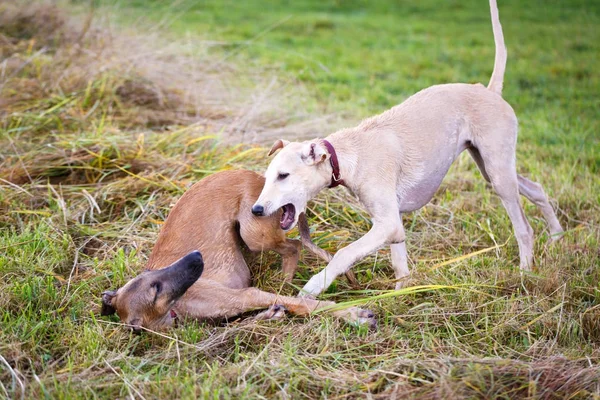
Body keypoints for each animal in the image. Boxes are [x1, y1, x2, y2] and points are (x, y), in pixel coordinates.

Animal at [102, 170, 376, 332]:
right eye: (154, 286)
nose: (196, 256)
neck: (178, 308)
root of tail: (256, 175)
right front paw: (270, 315)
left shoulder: (247, 295)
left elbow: (308, 305)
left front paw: (353, 314)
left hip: (254, 233)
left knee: (294, 246)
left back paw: (285, 281)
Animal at [251, 0, 564, 296]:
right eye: (268, 177)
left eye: (283, 176)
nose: (256, 210)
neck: (351, 154)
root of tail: (489, 90)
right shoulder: (394, 224)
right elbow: (399, 263)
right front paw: (400, 294)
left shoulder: (387, 223)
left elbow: (343, 253)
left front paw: (313, 288)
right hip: (493, 169)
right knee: (537, 188)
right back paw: (557, 237)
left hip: (499, 176)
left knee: (524, 228)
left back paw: (525, 273)